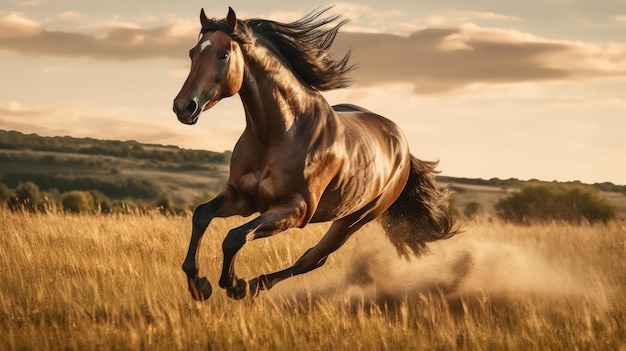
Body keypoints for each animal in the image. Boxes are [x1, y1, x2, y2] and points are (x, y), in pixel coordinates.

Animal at [173, 6, 456, 302]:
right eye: (192, 53)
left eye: (223, 55)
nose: (184, 107)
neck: (279, 134)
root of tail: (403, 147)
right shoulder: (243, 197)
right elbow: (202, 215)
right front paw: (199, 285)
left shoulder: (298, 208)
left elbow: (235, 237)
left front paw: (233, 285)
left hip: (356, 219)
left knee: (314, 258)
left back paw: (252, 285)